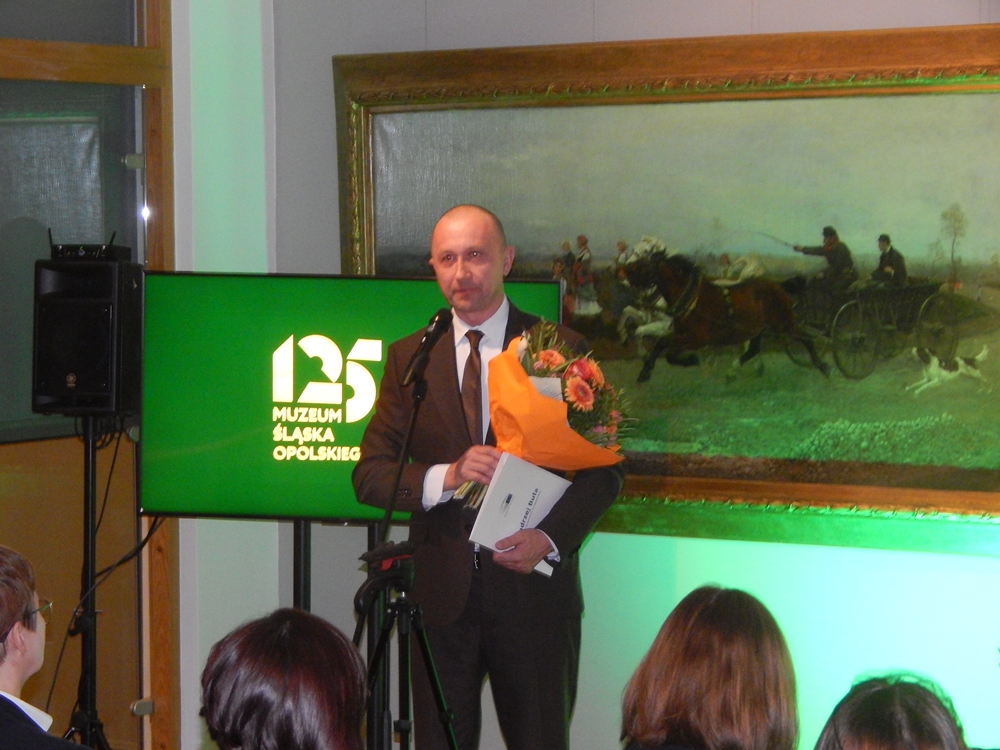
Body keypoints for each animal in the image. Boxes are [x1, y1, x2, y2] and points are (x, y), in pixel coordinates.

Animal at [623, 250, 829, 382]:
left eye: (643, 265)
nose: (622, 272)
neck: (692, 297)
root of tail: (778, 286)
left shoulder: (697, 338)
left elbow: (665, 347)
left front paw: (689, 360)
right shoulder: (682, 334)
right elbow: (663, 347)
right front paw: (648, 370)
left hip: (783, 323)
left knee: (806, 338)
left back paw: (822, 366)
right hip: (756, 328)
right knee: (753, 349)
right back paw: (732, 371)